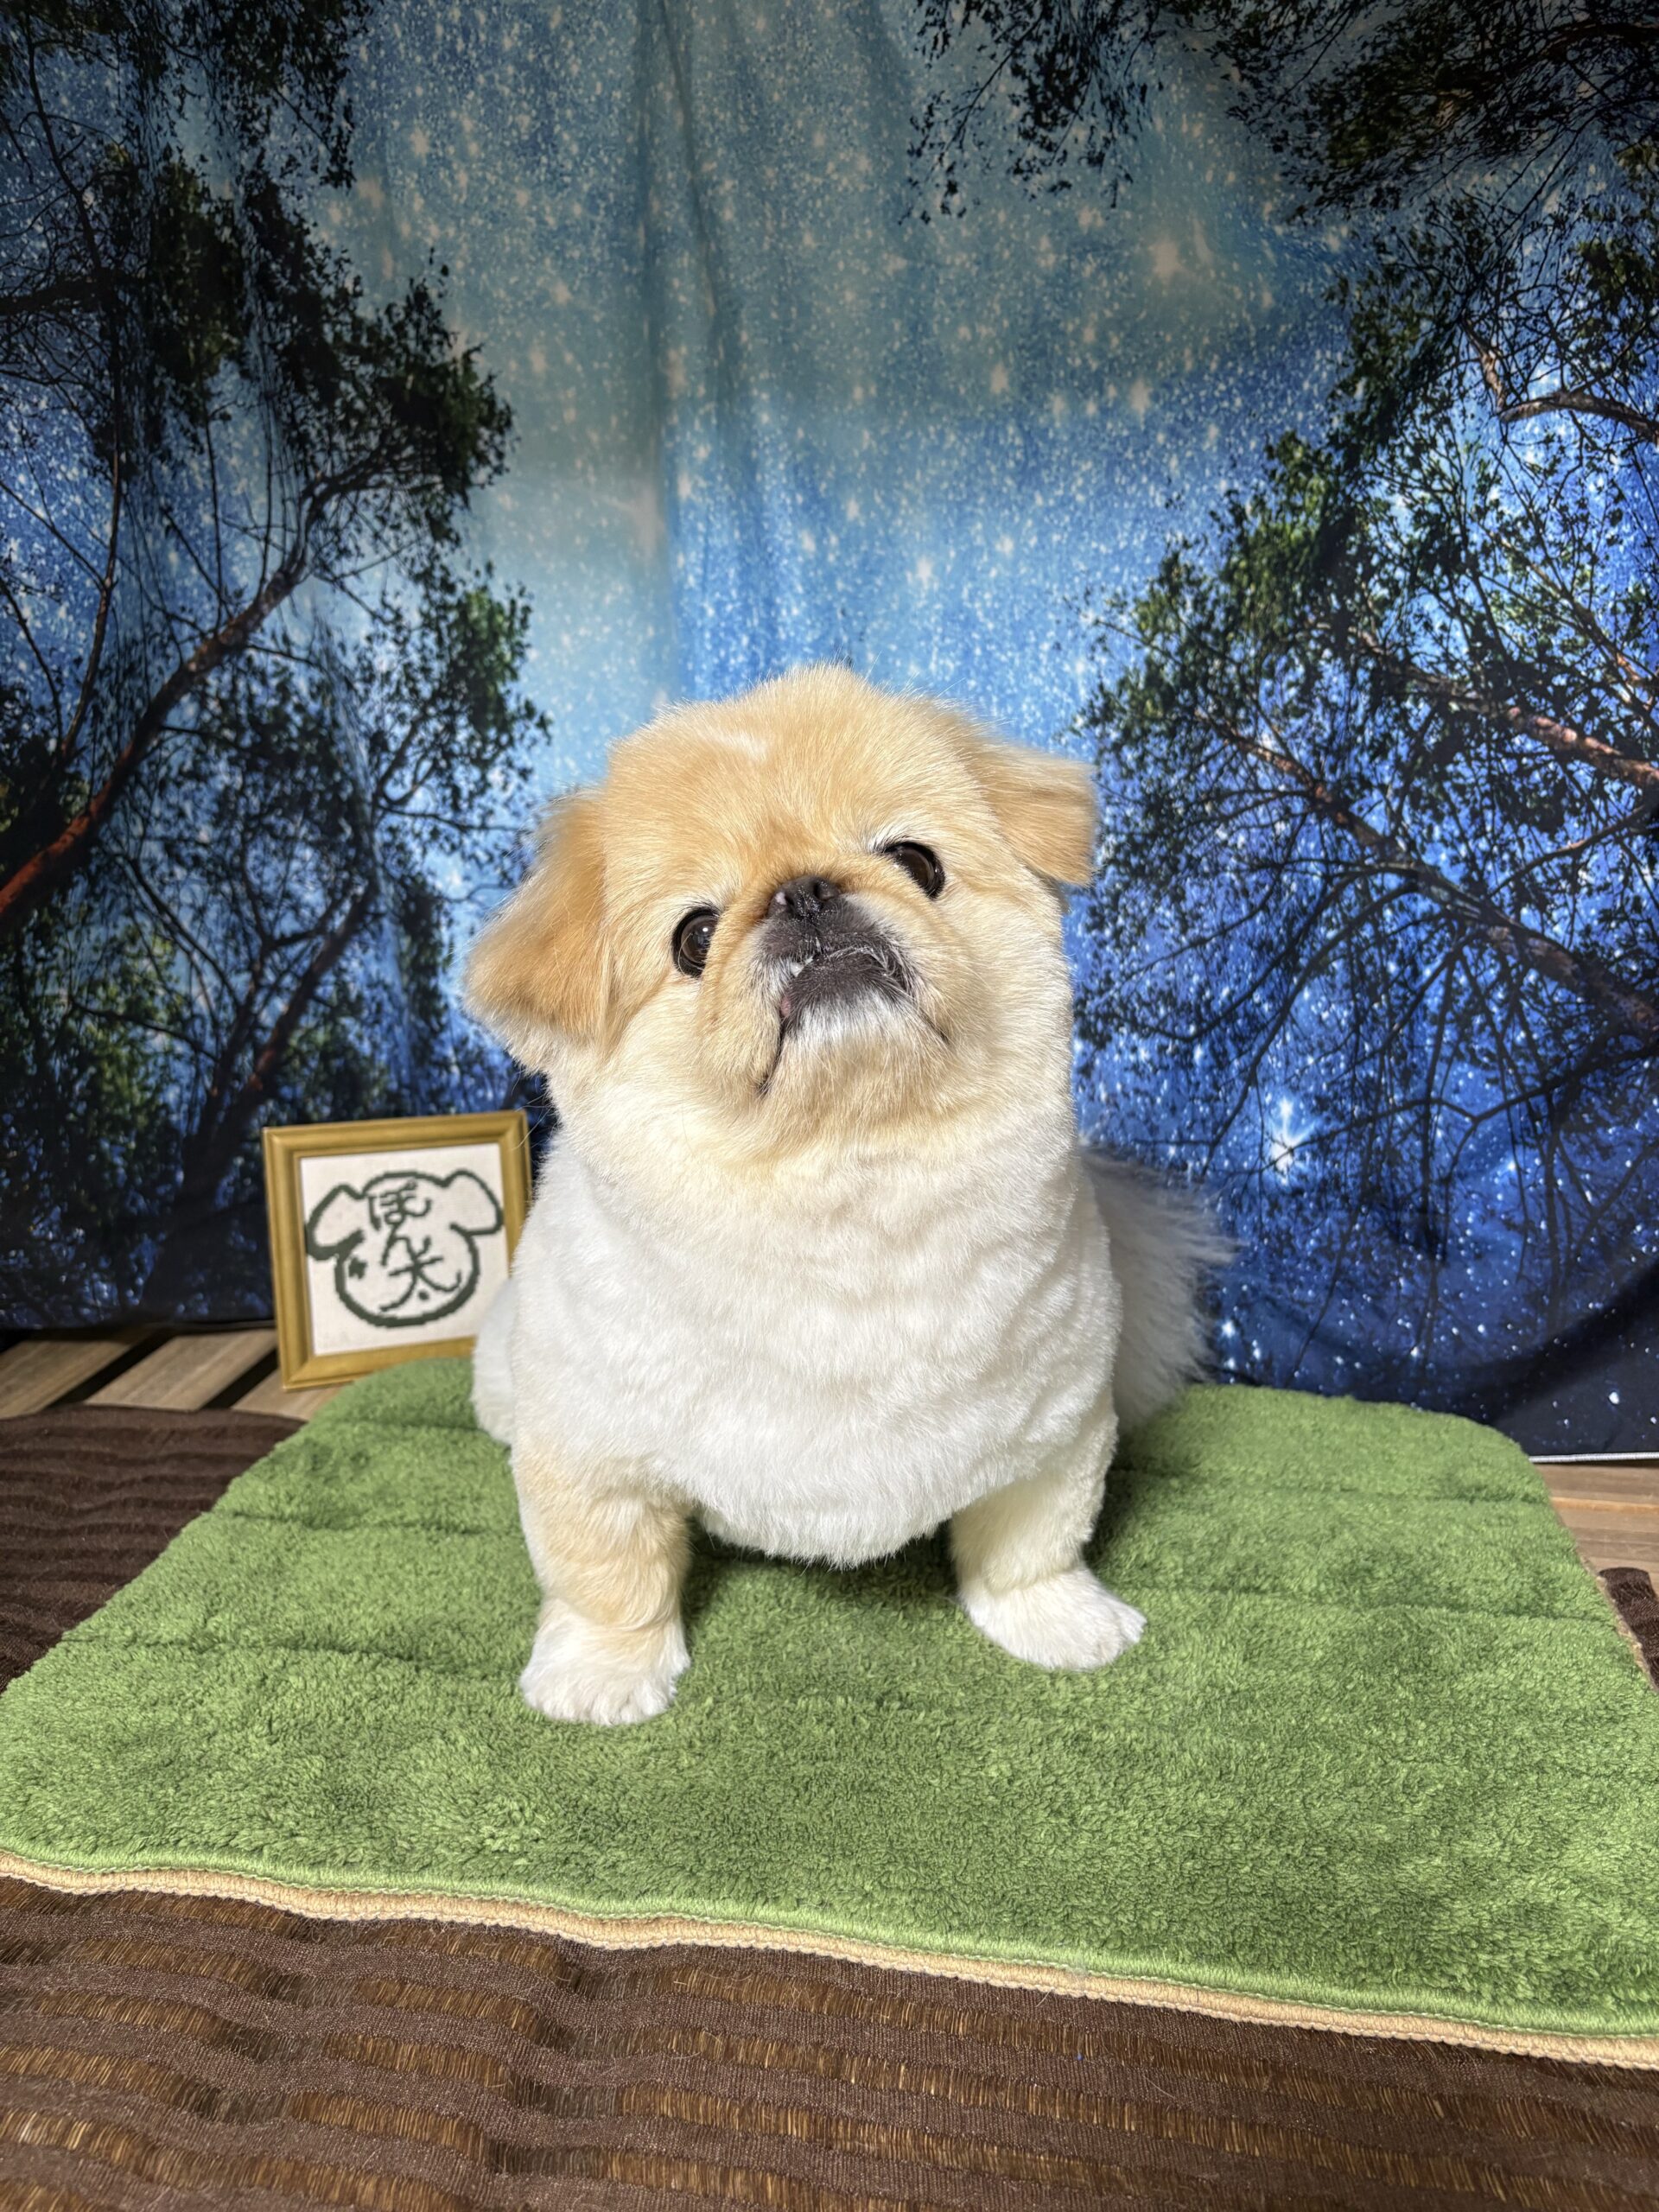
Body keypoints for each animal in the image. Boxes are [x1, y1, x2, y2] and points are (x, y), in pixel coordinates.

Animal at [465, 664, 1219, 1724]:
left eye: (916, 861)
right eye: (695, 936)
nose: (808, 891)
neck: (848, 1191)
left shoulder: (1057, 1433)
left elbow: (1032, 1547)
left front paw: (1056, 1622)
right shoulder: (592, 1454)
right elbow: (609, 1574)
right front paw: (603, 1674)